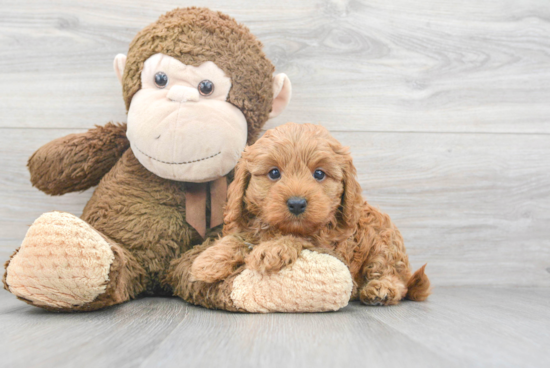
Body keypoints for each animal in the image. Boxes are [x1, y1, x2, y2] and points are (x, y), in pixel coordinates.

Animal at [177, 123, 432, 310]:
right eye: (274, 173)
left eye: (319, 174)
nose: (297, 203)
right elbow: (239, 238)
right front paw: (209, 260)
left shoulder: (332, 246)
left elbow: (300, 239)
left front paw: (272, 249)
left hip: (384, 244)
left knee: (394, 278)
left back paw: (380, 290)